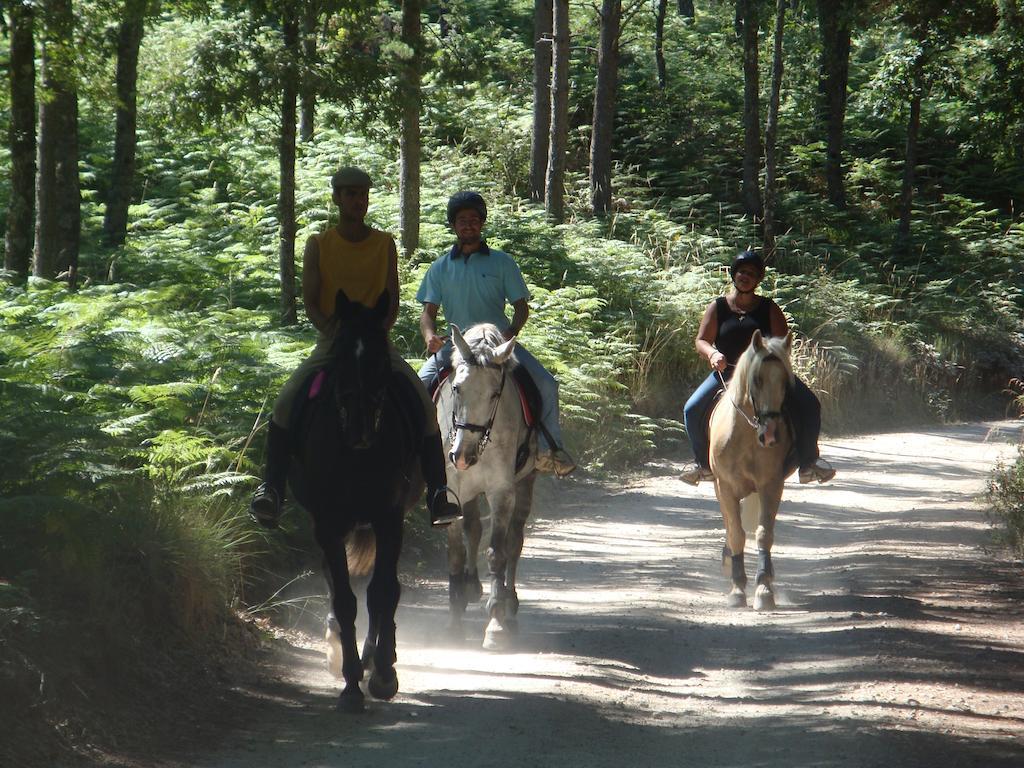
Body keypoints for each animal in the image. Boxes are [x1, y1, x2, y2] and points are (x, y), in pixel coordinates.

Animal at [288, 290, 423, 716]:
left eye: (380, 358)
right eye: (341, 357)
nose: (361, 429)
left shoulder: (389, 517)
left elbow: (382, 593)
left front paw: (382, 675)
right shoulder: (328, 523)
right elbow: (346, 600)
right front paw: (349, 683)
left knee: (383, 592)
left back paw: (377, 660)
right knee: (337, 585)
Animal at [436, 323, 540, 651]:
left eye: (495, 393)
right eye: (457, 388)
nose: (462, 455)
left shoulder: (501, 492)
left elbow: (497, 552)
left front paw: (495, 623)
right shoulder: (452, 492)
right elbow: (456, 553)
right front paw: (453, 622)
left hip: (525, 484)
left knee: (514, 542)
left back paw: (510, 606)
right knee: (473, 529)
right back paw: (470, 589)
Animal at [708, 331, 794, 614]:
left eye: (786, 382)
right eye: (757, 379)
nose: (770, 436)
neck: (745, 436)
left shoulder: (770, 486)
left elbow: (763, 534)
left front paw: (763, 589)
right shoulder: (725, 487)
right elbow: (736, 534)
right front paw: (737, 590)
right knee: (730, 525)